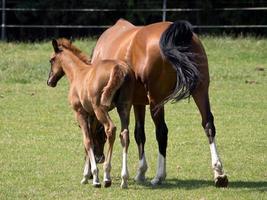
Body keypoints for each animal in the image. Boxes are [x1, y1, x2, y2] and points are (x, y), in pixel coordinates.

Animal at [46, 38, 135, 188]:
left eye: (52, 60)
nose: (49, 81)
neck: (78, 73)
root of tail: (118, 68)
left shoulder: (80, 113)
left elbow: (87, 141)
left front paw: (93, 177)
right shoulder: (92, 116)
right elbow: (92, 139)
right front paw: (87, 176)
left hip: (100, 108)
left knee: (111, 129)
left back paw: (106, 176)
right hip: (124, 107)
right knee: (124, 135)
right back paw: (124, 179)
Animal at [91, 19, 229, 188]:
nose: (99, 158)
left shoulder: (136, 103)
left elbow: (139, 134)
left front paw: (141, 172)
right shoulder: (138, 102)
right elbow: (139, 134)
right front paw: (141, 171)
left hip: (156, 102)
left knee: (162, 132)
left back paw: (159, 176)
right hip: (200, 90)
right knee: (208, 124)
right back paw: (219, 173)